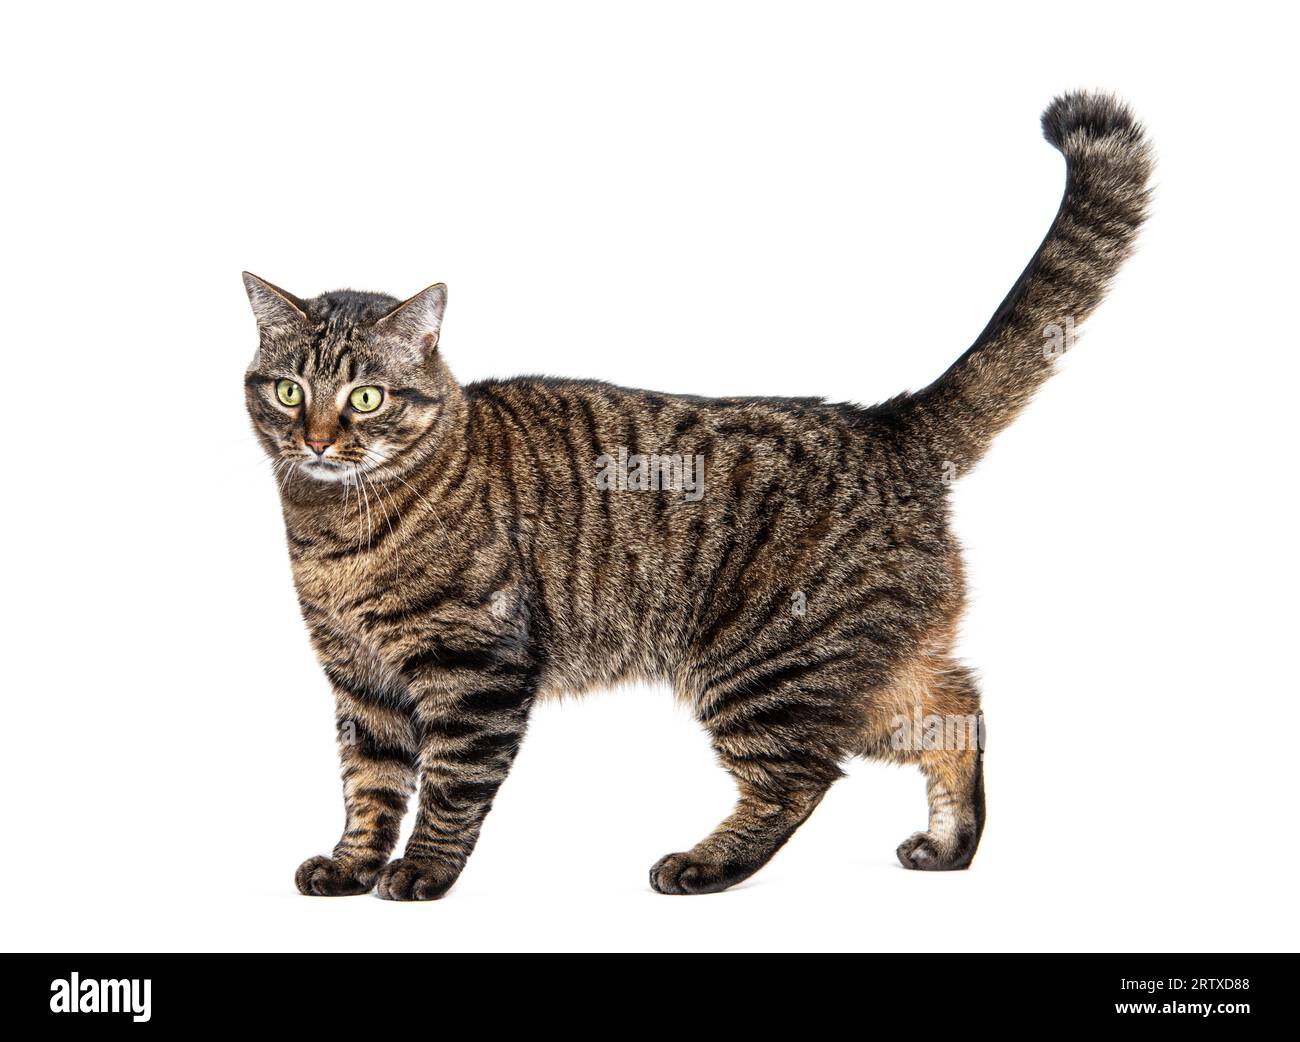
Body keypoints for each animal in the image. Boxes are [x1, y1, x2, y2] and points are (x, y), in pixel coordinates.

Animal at [244, 93, 1149, 899]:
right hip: (868, 664)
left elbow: (450, 786)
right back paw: (950, 843)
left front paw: (422, 872)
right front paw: (354, 865)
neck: (335, 528)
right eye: (290, 391)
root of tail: (884, 424)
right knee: (958, 710)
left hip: (765, 663)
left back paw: (707, 864)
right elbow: (370, 785)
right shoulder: (361, 681)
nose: (316, 439)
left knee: (802, 775)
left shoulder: (476, 670)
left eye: (366, 398)